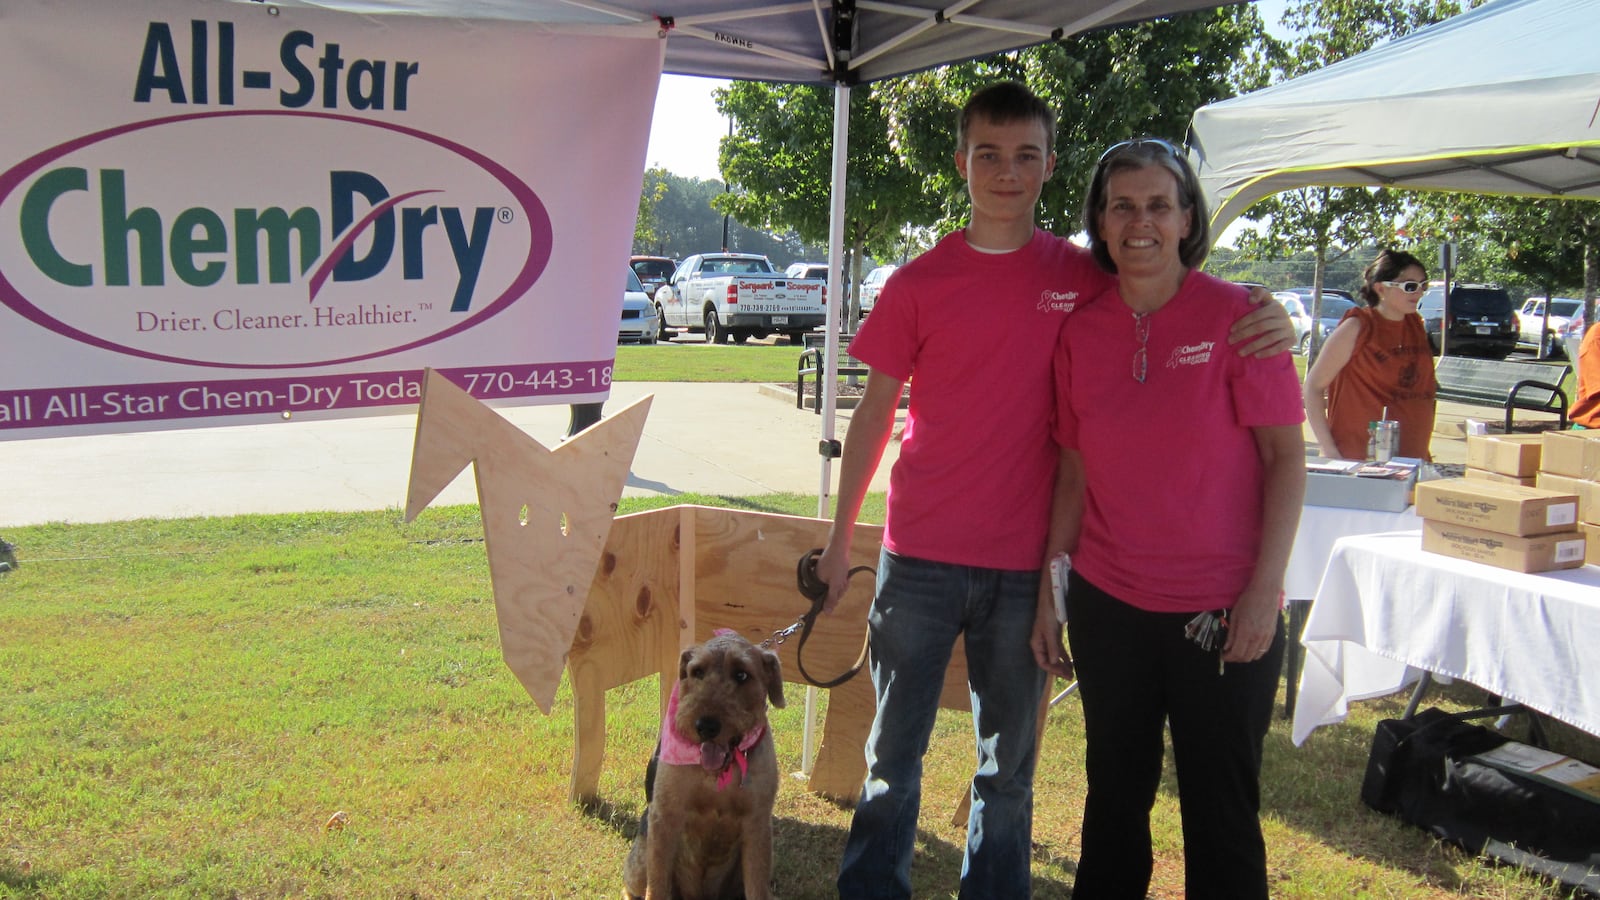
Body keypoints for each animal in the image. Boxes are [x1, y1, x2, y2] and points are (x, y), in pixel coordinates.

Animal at [620, 630, 784, 896]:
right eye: (697, 671)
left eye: (742, 674)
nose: (706, 726)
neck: (717, 776)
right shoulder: (666, 814)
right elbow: (656, 885)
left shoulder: (757, 822)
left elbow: (757, 888)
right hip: (641, 859)